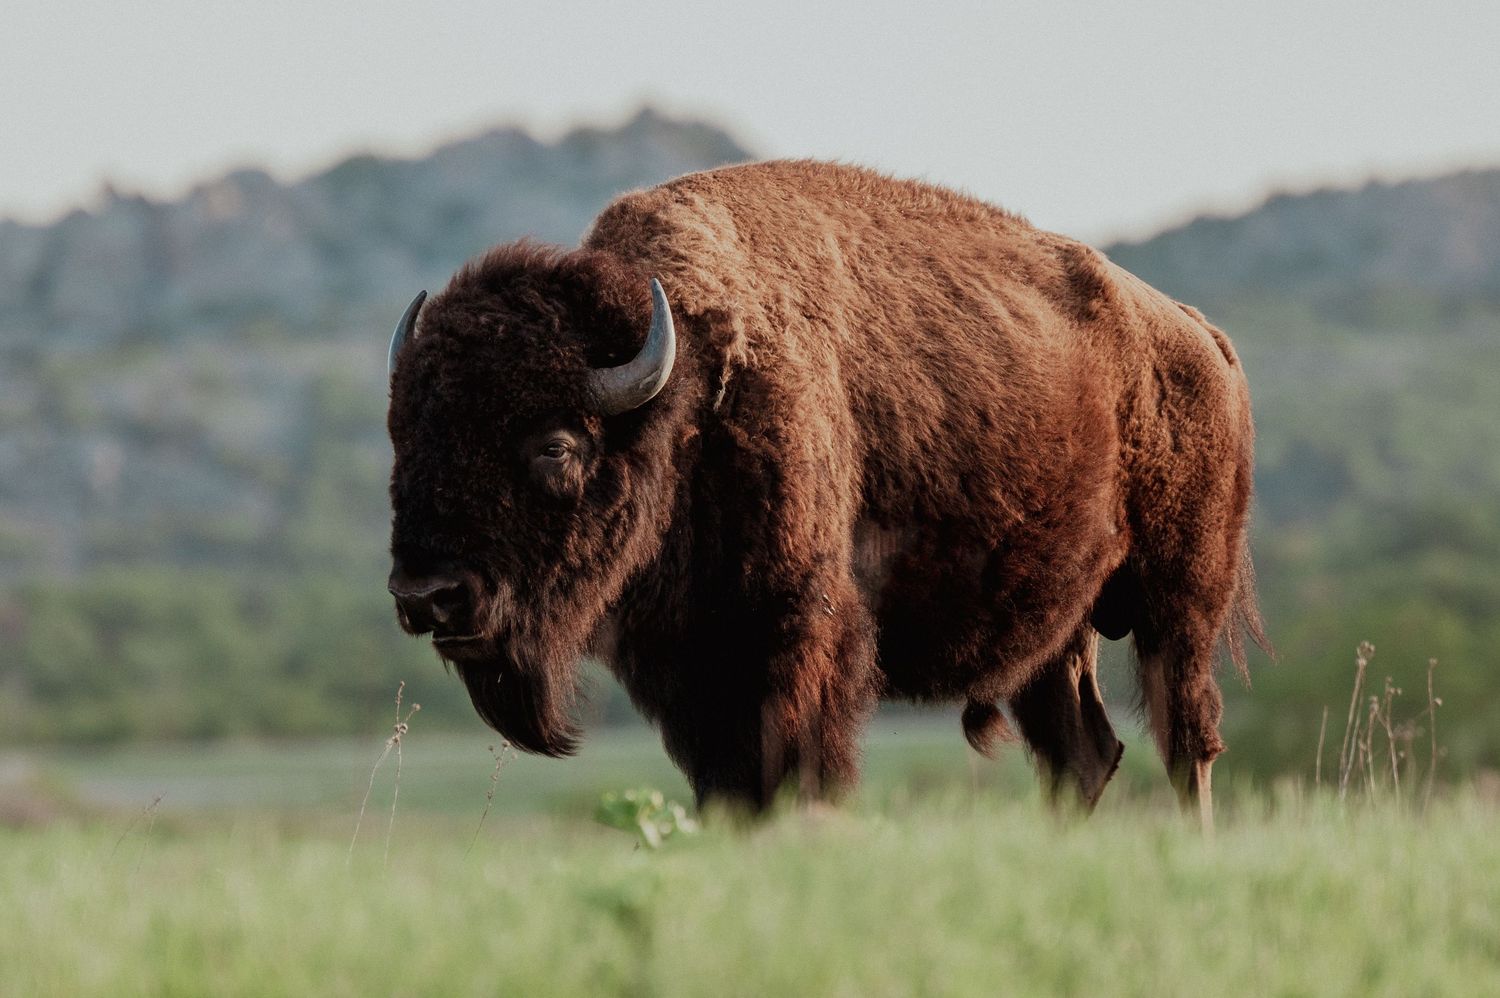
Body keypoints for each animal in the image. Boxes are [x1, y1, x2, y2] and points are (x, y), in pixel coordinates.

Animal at [385, 160, 1267, 825]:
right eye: (407, 438)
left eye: (554, 445)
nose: (428, 595)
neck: (692, 390)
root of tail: (1202, 337)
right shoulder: (689, 665)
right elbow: (729, 789)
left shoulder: (799, 636)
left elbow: (803, 774)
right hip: (1056, 633)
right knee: (1081, 754)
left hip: (1178, 603)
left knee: (1188, 741)